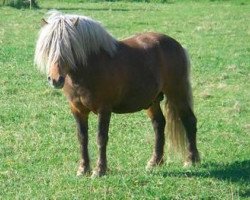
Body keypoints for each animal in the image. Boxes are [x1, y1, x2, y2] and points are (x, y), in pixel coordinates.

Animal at [34, 10, 199, 177]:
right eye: (48, 47)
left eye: (70, 48)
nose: (55, 79)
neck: (91, 68)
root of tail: (177, 45)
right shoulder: (77, 110)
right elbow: (82, 138)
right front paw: (83, 169)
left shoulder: (104, 109)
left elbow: (101, 138)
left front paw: (99, 170)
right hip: (152, 100)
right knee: (159, 124)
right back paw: (154, 162)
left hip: (177, 92)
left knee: (189, 120)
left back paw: (191, 160)